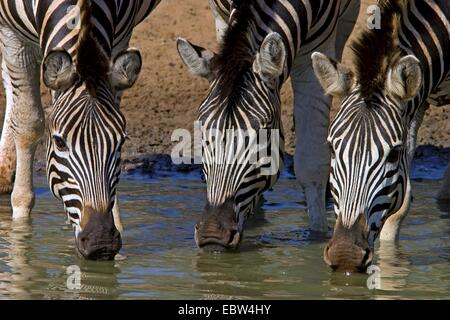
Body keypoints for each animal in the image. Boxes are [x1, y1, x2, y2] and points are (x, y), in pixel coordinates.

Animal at [0, 0, 162, 260]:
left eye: (121, 142)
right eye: (59, 142)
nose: (101, 242)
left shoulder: (121, 34)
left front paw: (118, 224)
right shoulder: (12, 33)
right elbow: (27, 122)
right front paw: (20, 231)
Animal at [178, 0, 360, 250]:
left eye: (262, 133)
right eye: (203, 133)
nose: (212, 236)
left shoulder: (315, 51)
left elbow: (311, 164)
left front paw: (316, 236)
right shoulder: (221, 17)